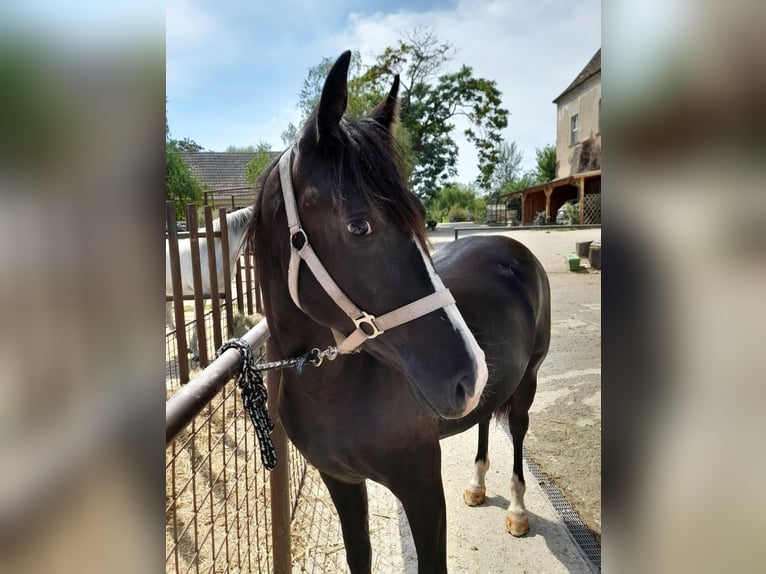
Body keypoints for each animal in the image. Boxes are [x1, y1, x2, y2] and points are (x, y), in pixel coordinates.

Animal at [248, 50, 552, 574]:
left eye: (421, 216)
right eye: (359, 225)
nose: (471, 373)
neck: (334, 386)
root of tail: (513, 248)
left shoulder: (423, 488)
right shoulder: (341, 481)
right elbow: (359, 556)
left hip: (528, 383)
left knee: (515, 433)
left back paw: (516, 510)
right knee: (485, 425)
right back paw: (477, 484)